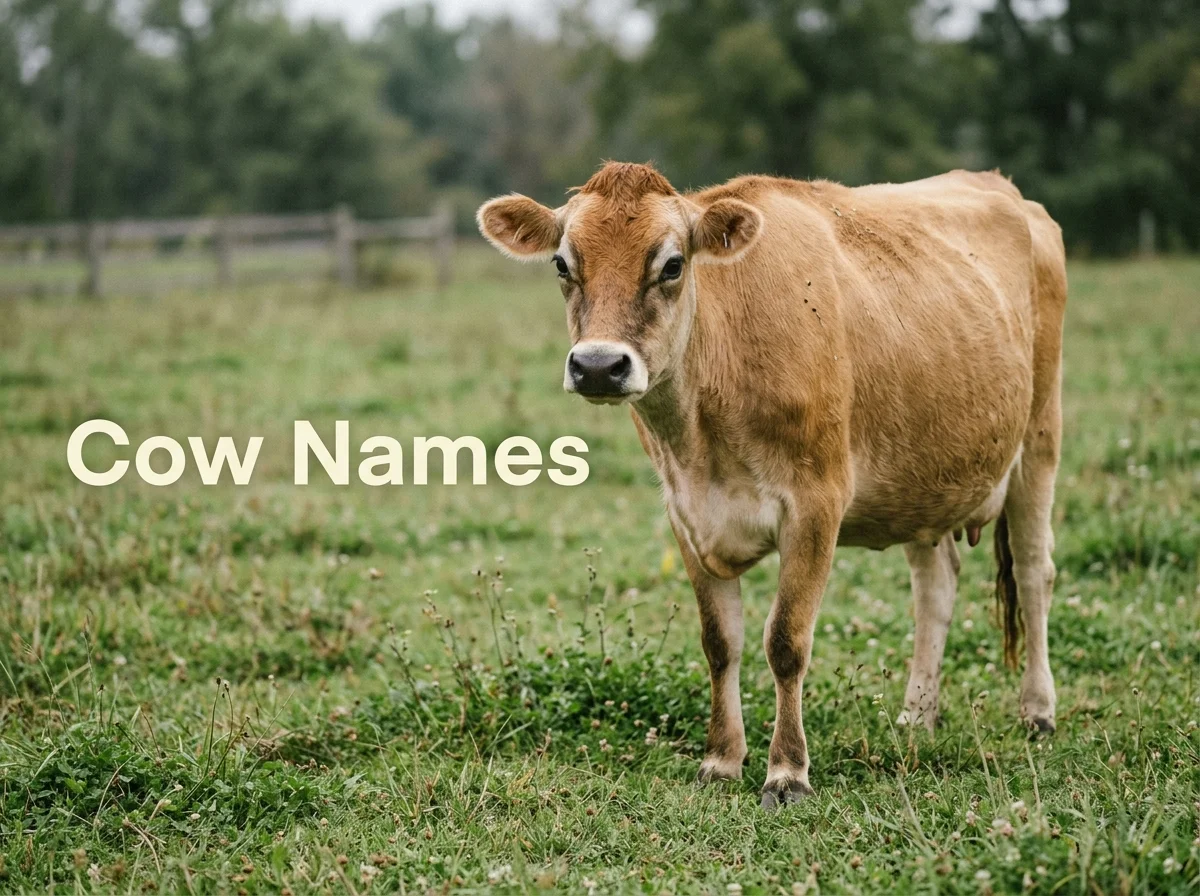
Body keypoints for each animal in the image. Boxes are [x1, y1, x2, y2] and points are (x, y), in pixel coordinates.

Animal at [477, 162, 1067, 809]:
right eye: (562, 263)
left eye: (673, 264)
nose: (600, 366)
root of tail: (996, 182)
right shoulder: (686, 514)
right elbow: (720, 643)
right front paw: (721, 760)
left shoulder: (816, 505)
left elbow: (786, 642)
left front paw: (787, 772)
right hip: (924, 480)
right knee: (934, 587)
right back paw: (918, 714)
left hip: (1039, 439)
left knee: (1034, 573)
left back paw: (1038, 710)